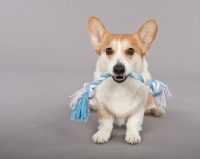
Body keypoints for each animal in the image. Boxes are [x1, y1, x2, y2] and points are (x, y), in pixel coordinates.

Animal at [86, 16, 165, 144]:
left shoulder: (138, 110)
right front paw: (101, 134)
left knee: (151, 106)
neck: (120, 88)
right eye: (108, 50)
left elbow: (133, 123)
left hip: (148, 101)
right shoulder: (103, 108)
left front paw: (132, 135)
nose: (119, 69)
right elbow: (106, 123)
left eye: (130, 51)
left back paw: (157, 110)